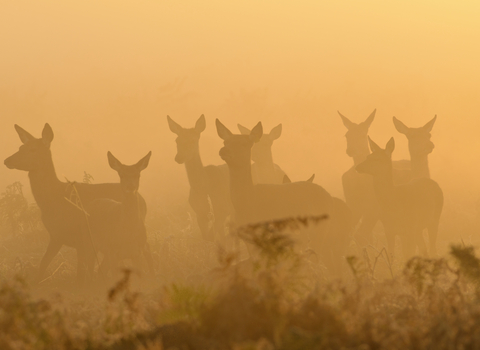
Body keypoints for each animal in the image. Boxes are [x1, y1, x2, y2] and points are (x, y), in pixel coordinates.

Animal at [2, 124, 147, 284]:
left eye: (33, 149)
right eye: (21, 147)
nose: (7, 160)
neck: (54, 199)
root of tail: (143, 199)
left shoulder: (78, 237)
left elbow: (78, 273)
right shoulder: (57, 235)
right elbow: (44, 264)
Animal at [216, 119, 350, 276]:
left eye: (245, 143)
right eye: (225, 141)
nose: (224, 151)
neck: (248, 204)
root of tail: (329, 198)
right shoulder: (248, 240)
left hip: (320, 231)